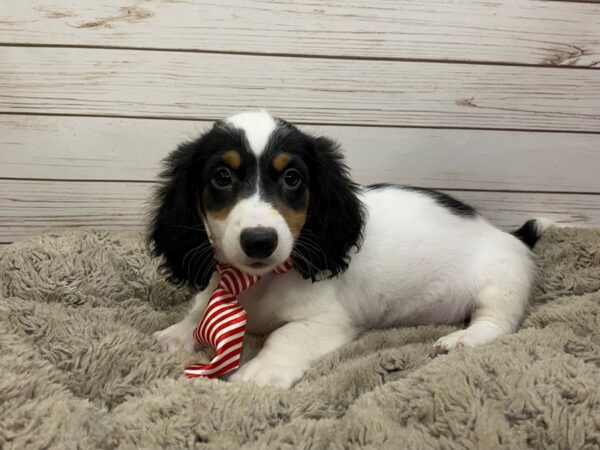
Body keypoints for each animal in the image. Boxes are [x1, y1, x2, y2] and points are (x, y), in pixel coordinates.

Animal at [150, 110, 548, 388]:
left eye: (292, 178)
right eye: (222, 177)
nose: (260, 240)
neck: (255, 282)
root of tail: (506, 234)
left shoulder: (327, 320)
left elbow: (285, 335)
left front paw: (261, 370)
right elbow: (202, 306)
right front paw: (180, 332)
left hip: (502, 284)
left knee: (497, 322)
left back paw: (464, 338)